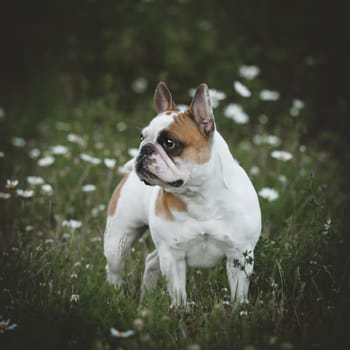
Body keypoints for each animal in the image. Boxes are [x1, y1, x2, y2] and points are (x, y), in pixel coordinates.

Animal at [102, 82, 262, 306]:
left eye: (169, 143)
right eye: (142, 137)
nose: (144, 149)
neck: (200, 196)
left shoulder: (239, 256)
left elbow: (239, 294)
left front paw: (238, 311)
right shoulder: (172, 256)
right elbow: (178, 293)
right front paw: (180, 310)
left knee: (151, 260)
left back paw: (146, 298)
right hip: (118, 241)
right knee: (115, 271)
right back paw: (116, 298)